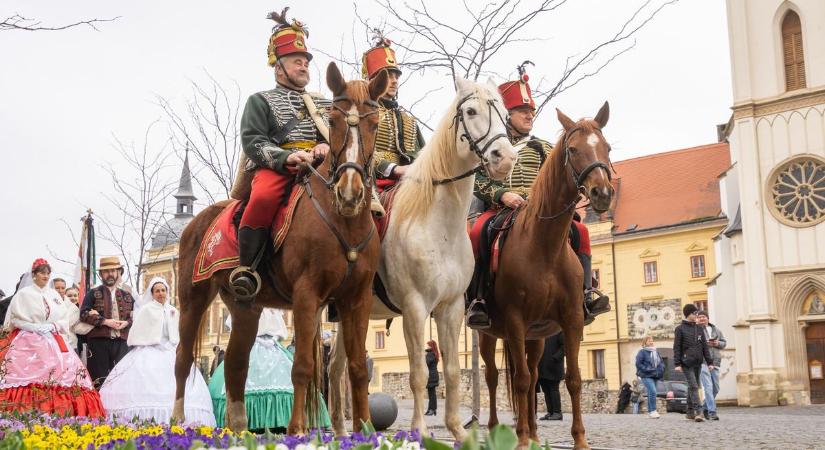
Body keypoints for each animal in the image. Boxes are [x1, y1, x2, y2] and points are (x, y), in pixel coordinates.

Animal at [171, 62, 390, 432]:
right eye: (333, 120)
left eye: (374, 122)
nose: (350, 193)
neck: (342, 220)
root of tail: (195, 223)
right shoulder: (306, 295)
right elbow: (302, 365)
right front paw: (296, 429)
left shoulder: (356, 299)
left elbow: (358, 367)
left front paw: (366, 429)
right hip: (193, 300)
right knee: (184, 360)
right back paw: (175, 420)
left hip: (245, 307)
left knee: (236, 363)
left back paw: (238, 428)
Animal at [326, 77, 516, 440]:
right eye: (471, 111)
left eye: (503, 112)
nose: (505, 158)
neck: (438, 224)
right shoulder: (415, 308)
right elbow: (417, 373)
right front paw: (420, 431)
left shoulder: (451, 308)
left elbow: (452, 371)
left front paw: (457, 430)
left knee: (336, 367)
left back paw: (341, 432)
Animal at [476, 103, 612, 450]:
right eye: (573, 149)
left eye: (606, 147)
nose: (602, 193)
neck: (545, 245)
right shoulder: (514, 321)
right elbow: (520, 380)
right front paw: (521, 439)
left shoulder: (572, 320)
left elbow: (573, 379)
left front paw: (580, 440)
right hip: (489, 333)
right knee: (494, 377)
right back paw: (500, 430)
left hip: (537, 335)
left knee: (535, 374)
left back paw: (535, 433)